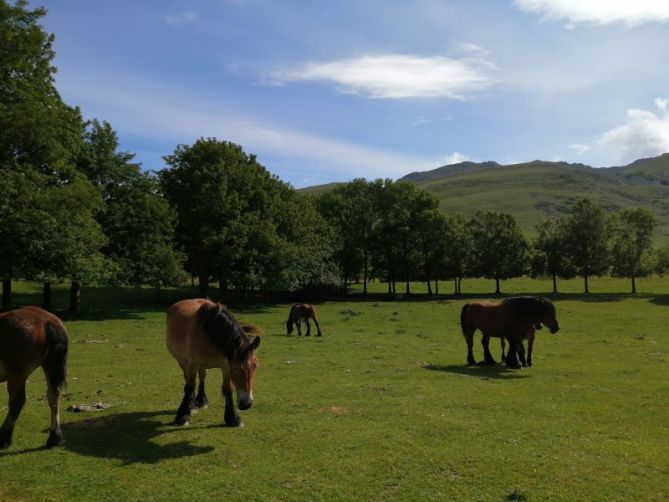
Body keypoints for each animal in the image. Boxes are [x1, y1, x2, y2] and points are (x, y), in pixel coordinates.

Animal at [0, 306, 67, 448]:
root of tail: (46, 319)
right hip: (47, 365)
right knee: (54, 396)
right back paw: (54, 437)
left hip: (17, 374)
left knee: (17, 402)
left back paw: (4, 437)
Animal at [166, 298, 260, 428]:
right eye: (236, 368)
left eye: (255, 366)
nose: (246, 404)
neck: (210, 332)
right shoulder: (192, 364)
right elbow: (189, 387)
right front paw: (183, 416)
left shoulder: (226, 366)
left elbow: (227, 390)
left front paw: (233, 418)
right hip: (183, 362)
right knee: (188, 380)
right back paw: (192, 405)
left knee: (202, 377)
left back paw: (201, 400)